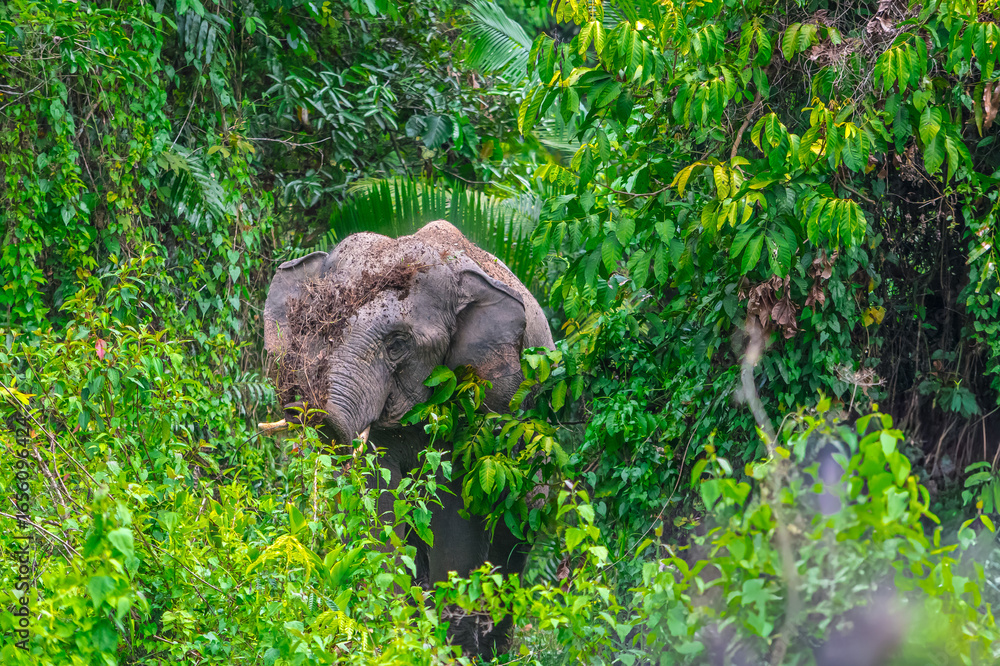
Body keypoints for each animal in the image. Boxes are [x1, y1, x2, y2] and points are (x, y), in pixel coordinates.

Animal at [260, 220, 554, 656]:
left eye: (397, 344)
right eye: (314, 328)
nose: (301, 407)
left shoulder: (477, 404)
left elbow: (455, 507)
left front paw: (449, 650)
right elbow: (378, 495)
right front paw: (393, 631)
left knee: (514, 534)